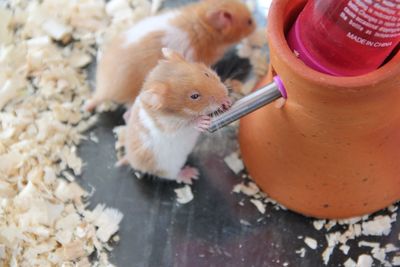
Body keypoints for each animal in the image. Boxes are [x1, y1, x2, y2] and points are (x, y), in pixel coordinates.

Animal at [117, 48, 231, 184]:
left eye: (206, 74)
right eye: (194, 96)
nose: (225, 95)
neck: (180, 114)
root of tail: (129, 158)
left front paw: (227, 102)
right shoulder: (172, 128)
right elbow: (189, 125)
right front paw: (202, 121)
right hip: (166, 167)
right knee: (172, 176)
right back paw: (192, 174)